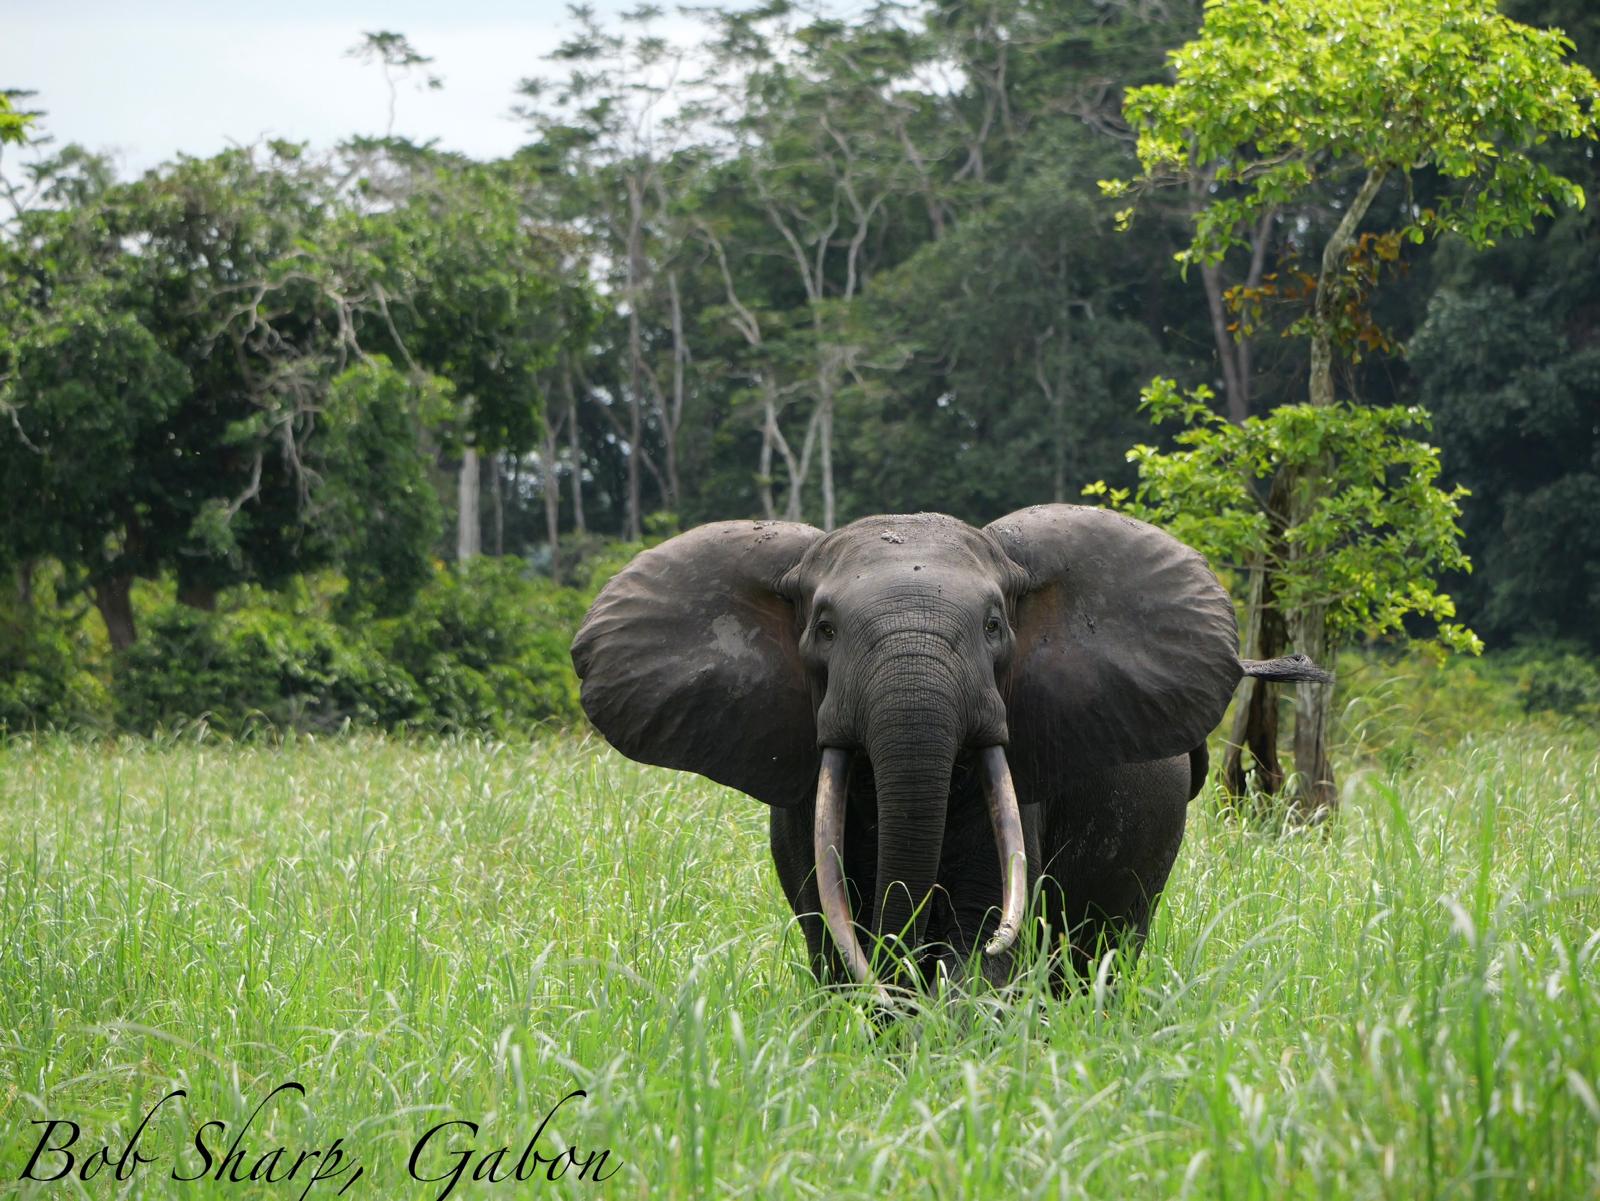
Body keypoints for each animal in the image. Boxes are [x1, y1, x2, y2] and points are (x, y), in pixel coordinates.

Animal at [570, 505, 1329, 998]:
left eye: (994, 625)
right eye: (824, 627)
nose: (897, 968)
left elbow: (979, 932)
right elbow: (826, 924)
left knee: (1105, 946)